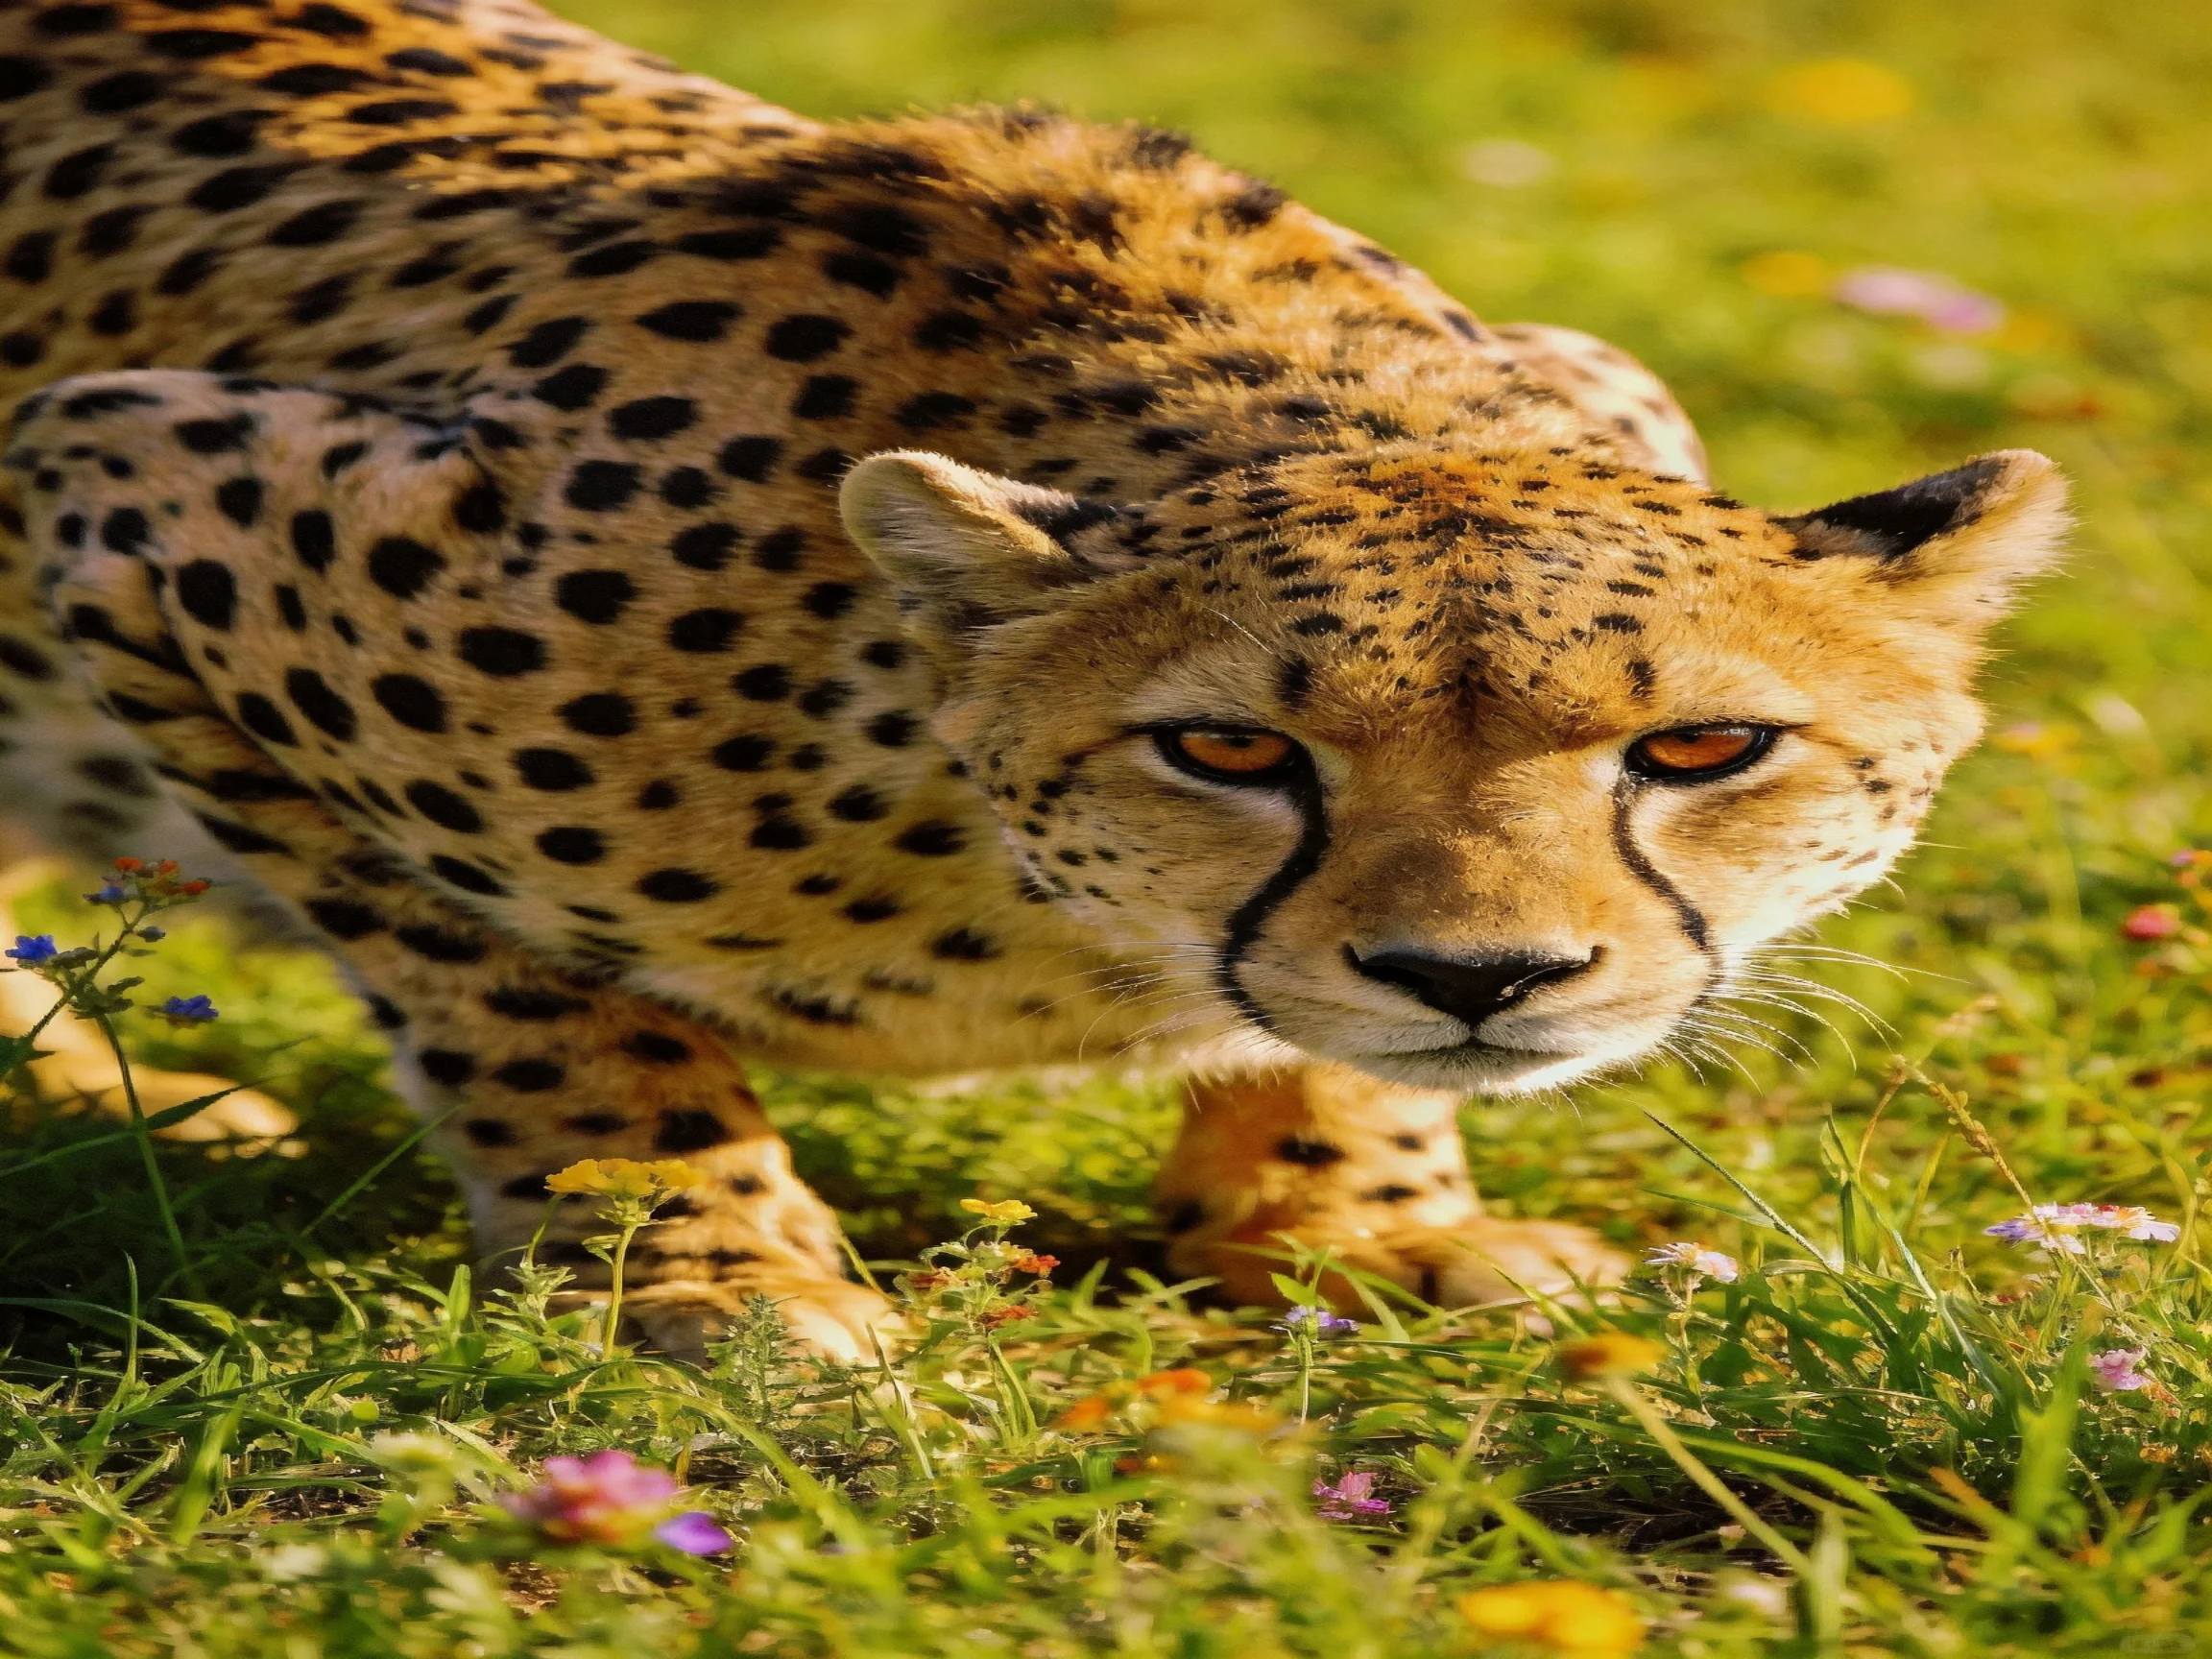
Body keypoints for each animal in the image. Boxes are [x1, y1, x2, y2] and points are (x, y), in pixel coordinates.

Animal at [0, 0, 2067, 1356]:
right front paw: (702, 1258)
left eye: (1703, 744)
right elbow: (518, 990)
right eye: (1227, 745)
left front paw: (1343, 1214)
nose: (1478, 978)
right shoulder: (128, 479)